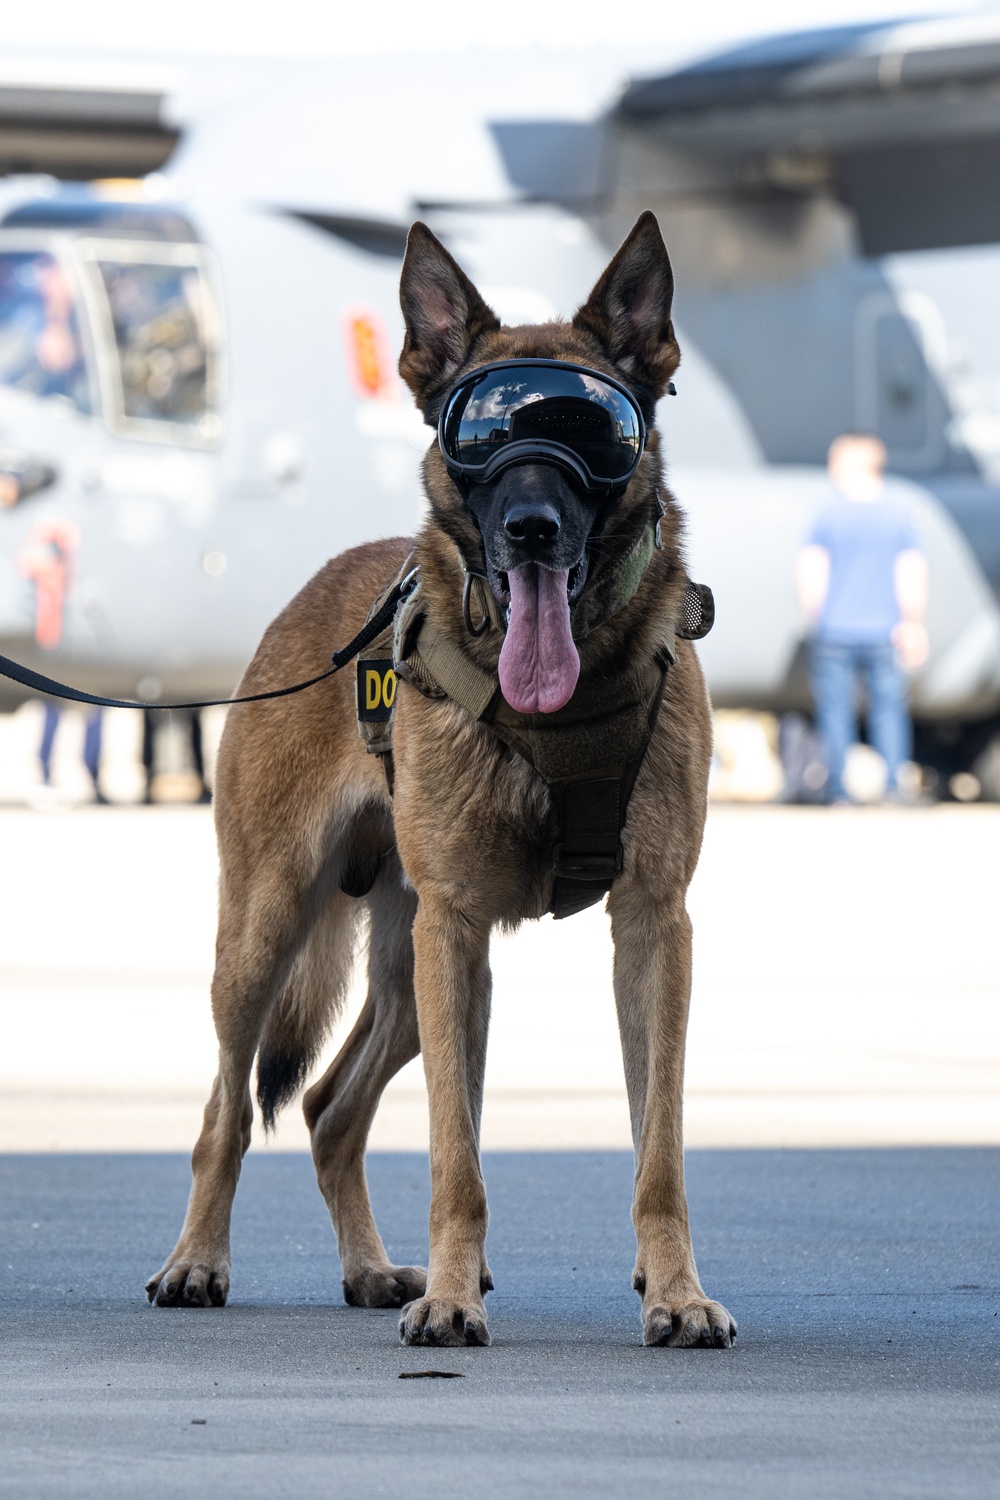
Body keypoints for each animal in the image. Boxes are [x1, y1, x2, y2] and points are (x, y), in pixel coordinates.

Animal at [150, 211, 743, 1350]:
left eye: (595, 430)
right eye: (481, 432)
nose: (531, 528)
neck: (556, 709)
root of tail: (308, 592)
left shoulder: (654, 928)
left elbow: (659, 1147)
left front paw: (677, 1291)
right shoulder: (458, 930)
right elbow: (454, 1155)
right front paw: (456, 1299)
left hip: (414, 974)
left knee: (329, 1110)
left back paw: (371, 1269)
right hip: (278, 933)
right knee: (226, 1111)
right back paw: (198, 1260)